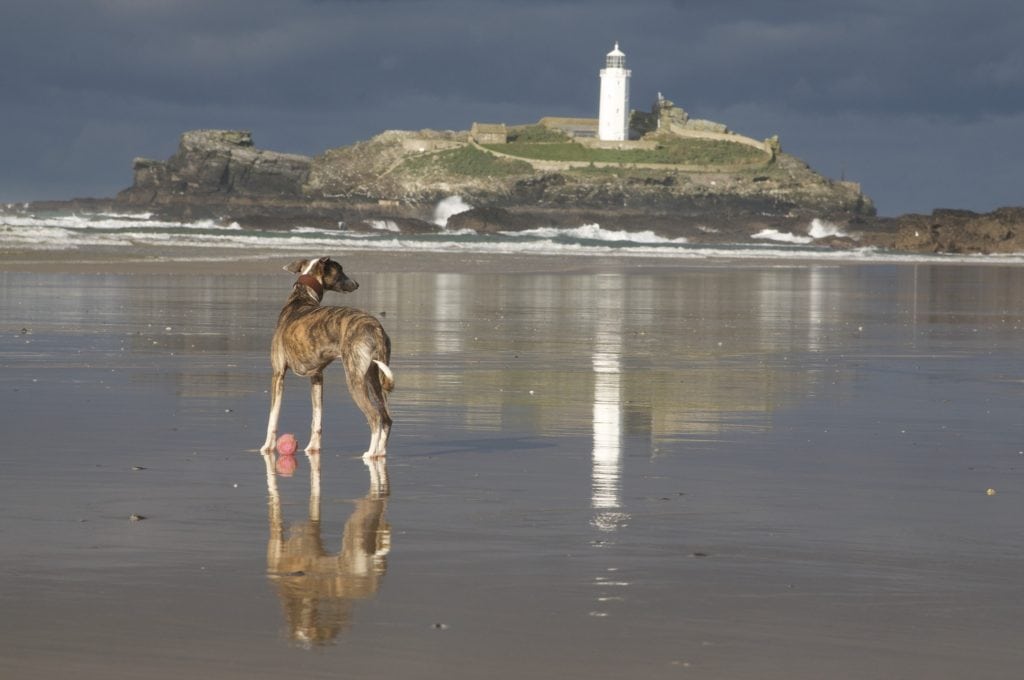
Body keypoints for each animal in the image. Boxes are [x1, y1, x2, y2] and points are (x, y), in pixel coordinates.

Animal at [262, 258, 393, 458]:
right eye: (341, 270)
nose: (357, 284)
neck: (301, 298)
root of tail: (375, 327)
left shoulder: (278, 374)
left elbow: (273, 417)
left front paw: (267, 446)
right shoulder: (317, 377)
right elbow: (317, 417)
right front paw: (312, 448)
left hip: (355, 378)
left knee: (375, 416)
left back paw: (370, 453)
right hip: (374, 378)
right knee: (386, 418)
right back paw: (380, 452)